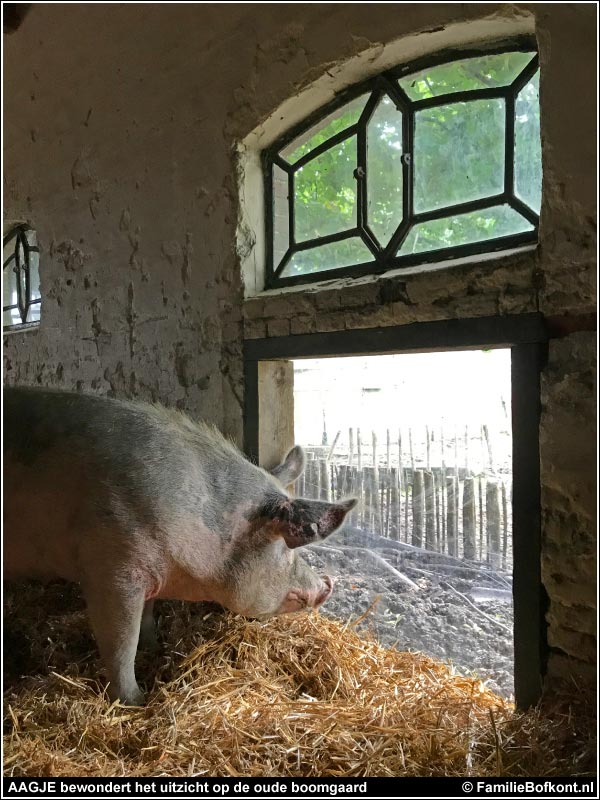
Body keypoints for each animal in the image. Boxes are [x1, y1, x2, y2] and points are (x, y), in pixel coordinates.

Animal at [3, 388, 356, 708]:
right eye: (286, 547)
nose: (326, 585)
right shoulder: (112, 571)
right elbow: (121, 644)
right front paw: (137, 702)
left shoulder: (149, 572)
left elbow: (146, 618)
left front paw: (155, 647)